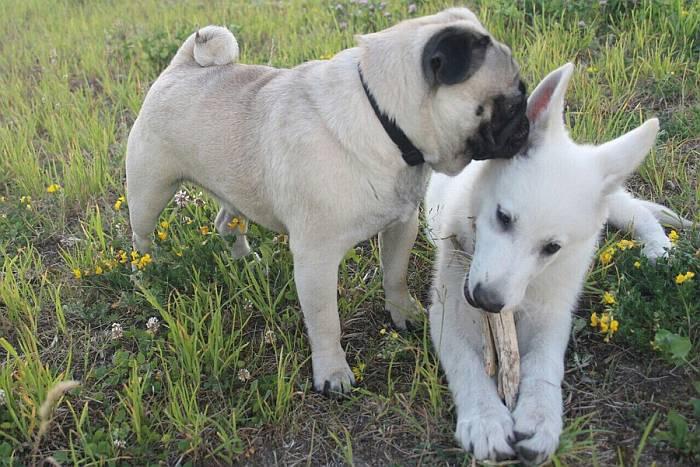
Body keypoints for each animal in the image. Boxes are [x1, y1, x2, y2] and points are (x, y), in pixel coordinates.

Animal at [127, 9, 532, 396]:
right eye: (512, 103)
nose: (526, 125)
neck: (383, 119)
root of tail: (181, 66)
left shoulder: (402, 224)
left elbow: (395, 275)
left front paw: (404, 313)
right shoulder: (316, 259)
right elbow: (325, 322)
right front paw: (332, 374)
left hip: (236, 188)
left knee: (226, 221)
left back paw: (244, 258)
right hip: (150, 190)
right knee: (142, 236)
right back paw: (149, 269)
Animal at [424, 64, 692, 466]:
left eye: (551, 248)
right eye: (503, 217)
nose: (488, 301)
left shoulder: (552, 311)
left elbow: (545, 364)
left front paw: (539, 418)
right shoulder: (449, 308)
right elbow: (466, 363)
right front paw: (486, 419)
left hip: (609, 198)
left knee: (636, 209)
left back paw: (661, 251)